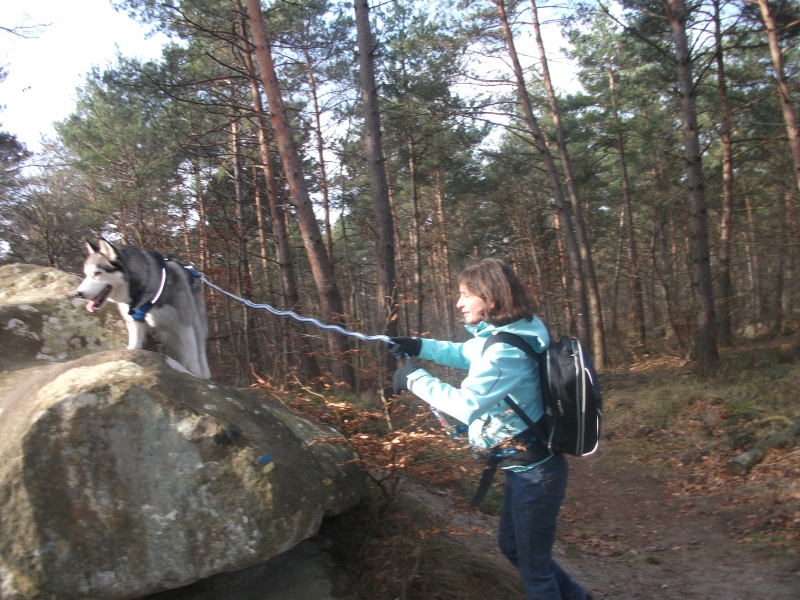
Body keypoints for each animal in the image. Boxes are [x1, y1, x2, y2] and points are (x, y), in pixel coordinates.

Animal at [75, 237, 211, 378]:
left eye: (97, 273)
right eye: (86, 274)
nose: (78, 293)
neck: (144, 289)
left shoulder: (184, 326)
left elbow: (193, 358)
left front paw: (196, 375)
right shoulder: (135, 322)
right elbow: (134, 346)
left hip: (195, 325)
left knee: (200, 350)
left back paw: (204, 373)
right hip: (167, 335)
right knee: (181, 354)